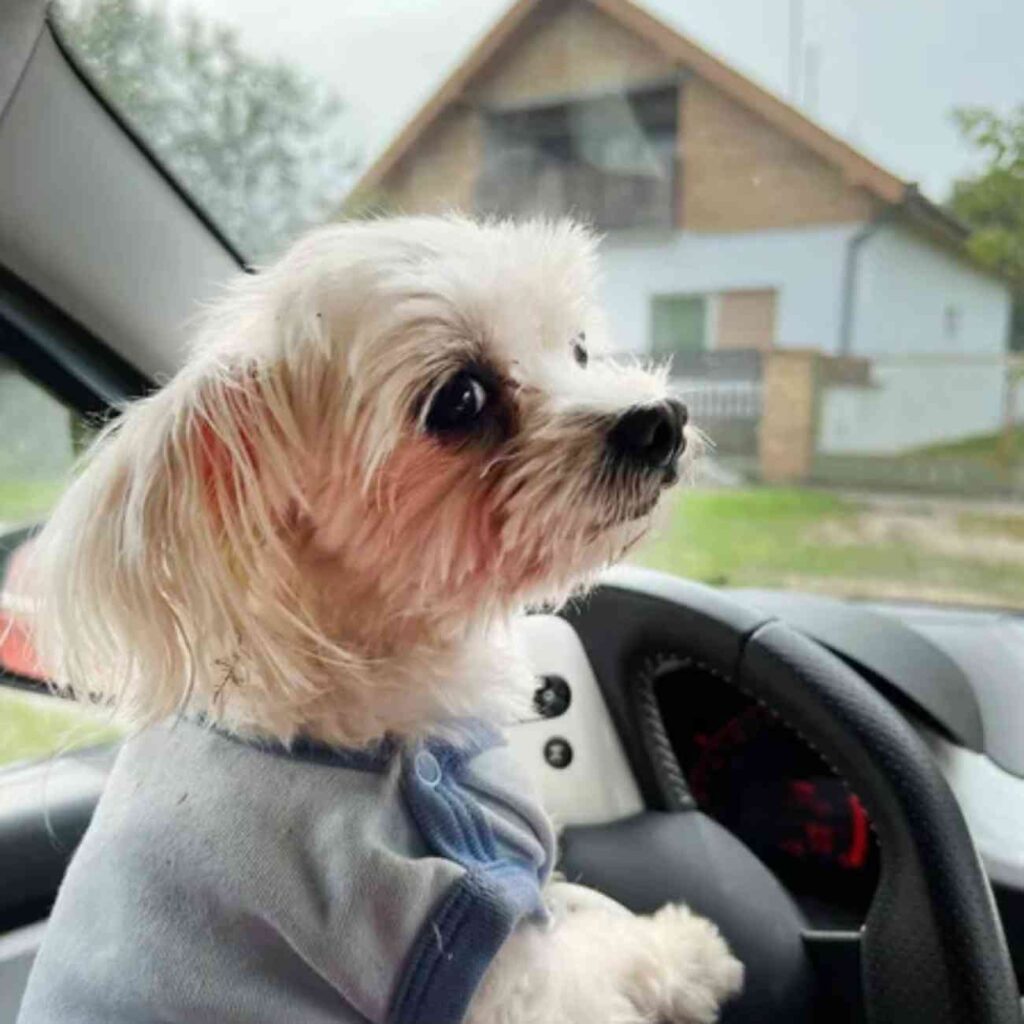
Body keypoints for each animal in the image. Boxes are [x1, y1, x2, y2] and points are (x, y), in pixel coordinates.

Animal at [19, 216, 741, 1024]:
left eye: (578, 348)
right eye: (460, 398)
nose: (660, 421)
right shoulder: (481, 946)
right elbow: (596, 964)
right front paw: (686, 949)